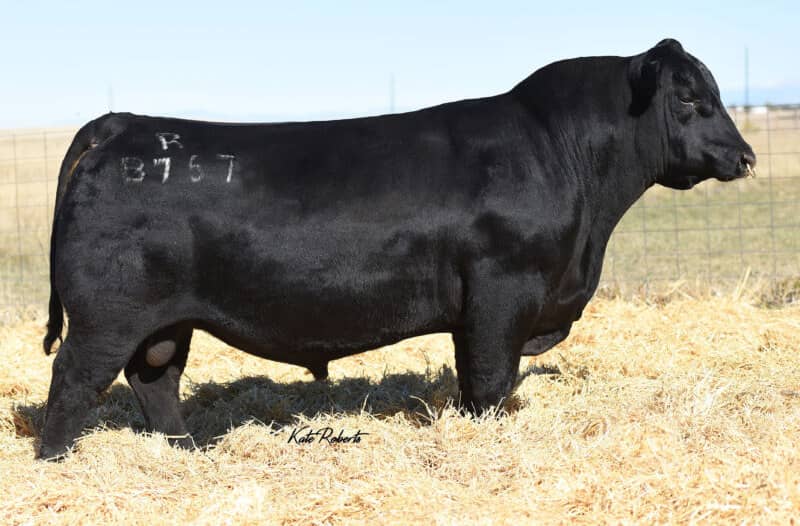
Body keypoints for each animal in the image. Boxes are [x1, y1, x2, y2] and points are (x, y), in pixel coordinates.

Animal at [39, 39, 755, 459]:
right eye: (690, 98)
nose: (745, 156)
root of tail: (123, 124)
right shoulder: (502, 291)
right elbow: (489, 381)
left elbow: (477, 378)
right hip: (106, 316)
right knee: (74, 378)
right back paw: (57, 461)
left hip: (165, 319)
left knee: (155, 377)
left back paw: (188, 452)